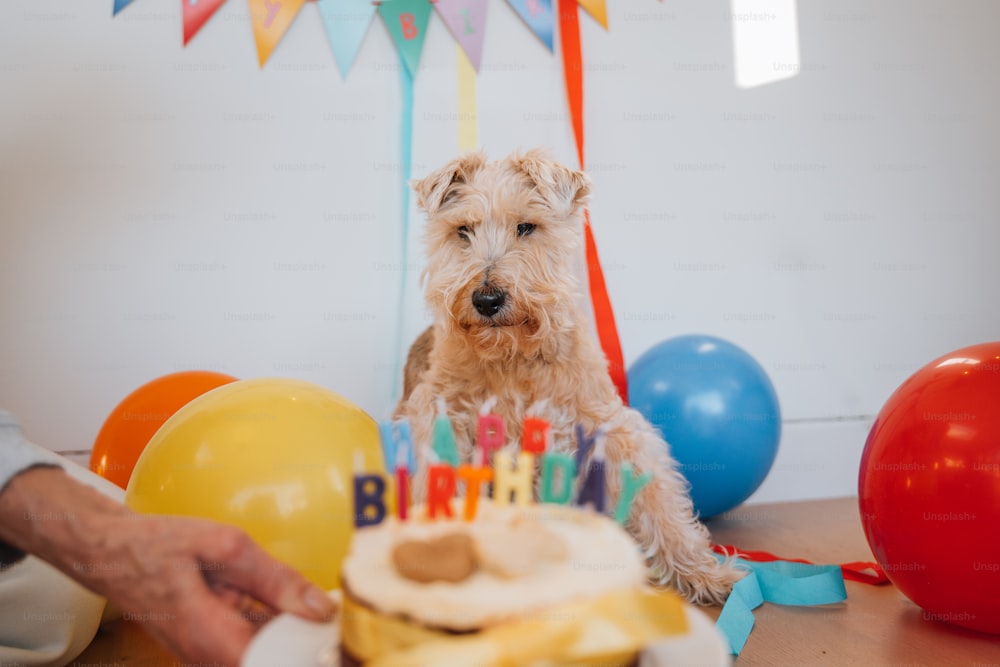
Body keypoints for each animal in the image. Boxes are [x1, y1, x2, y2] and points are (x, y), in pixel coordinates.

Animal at [396, 150, 744, 604]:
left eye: (527, 227)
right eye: (462, 231)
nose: (487, 299)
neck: (513, 357)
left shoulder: (611, 429)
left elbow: (658, 500)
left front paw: (703, 572)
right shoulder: (445, 425)